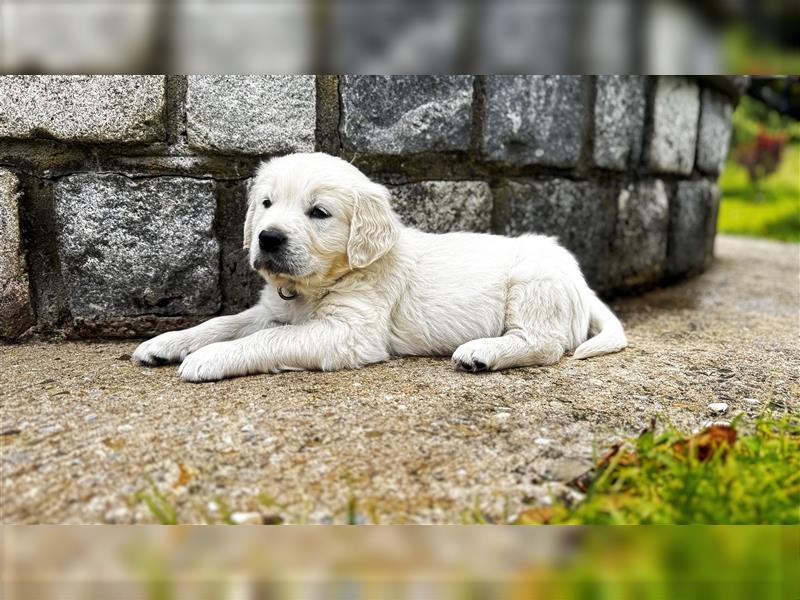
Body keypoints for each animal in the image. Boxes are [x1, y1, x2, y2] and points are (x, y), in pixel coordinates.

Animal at [134, 152, 628, 382]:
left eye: (319, 212)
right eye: (267, 204)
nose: (268, 238)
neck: (317, 285)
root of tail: (580, 281)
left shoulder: (350, 332)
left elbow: (268, 340)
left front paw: (208, 358)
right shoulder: (272, 308)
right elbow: (225, 322)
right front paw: (168, 342)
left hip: (532, 283)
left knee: (544, 345)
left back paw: (481, 353)